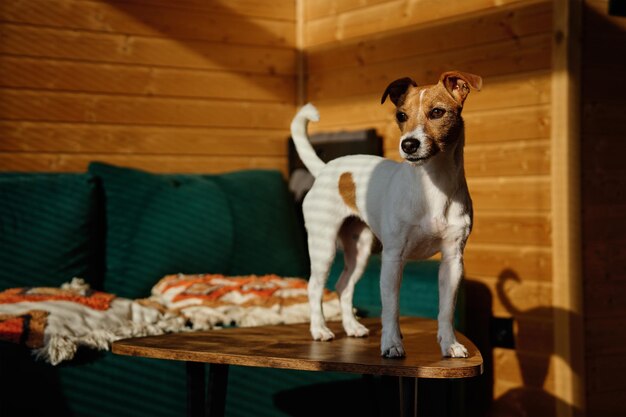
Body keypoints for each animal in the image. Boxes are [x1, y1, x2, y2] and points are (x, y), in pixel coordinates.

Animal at [290, 70, 480, 356]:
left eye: (437, 112)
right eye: (401, 115)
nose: (409, 144)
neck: (433, 187)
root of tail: (325, 169)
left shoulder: (452, 261)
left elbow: (446, 311)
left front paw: (450, 344)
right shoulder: (393, 258)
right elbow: (391, 308)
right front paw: (391, 344)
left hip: (359, 250)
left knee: (343, 286)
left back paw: (352, 326)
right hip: (324, 247)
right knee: (314, 287)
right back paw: (319, 329)